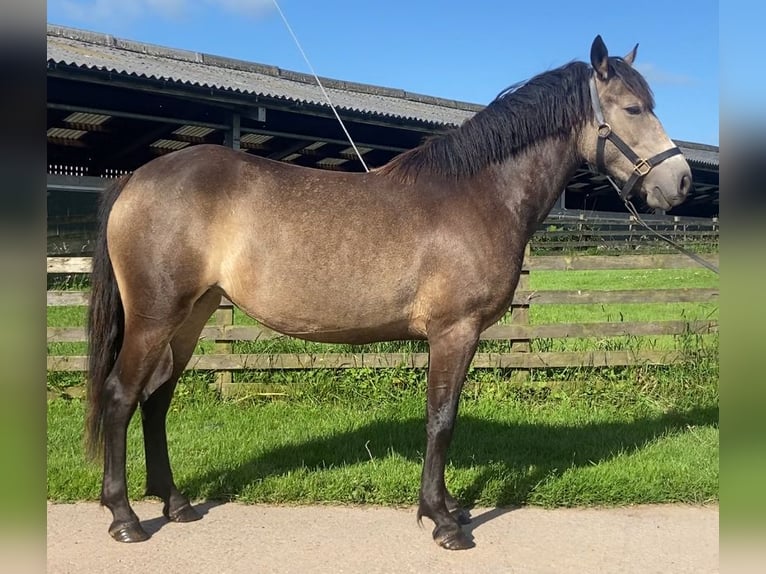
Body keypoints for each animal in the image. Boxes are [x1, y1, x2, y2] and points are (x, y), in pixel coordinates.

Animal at [86, 35, 691, 550]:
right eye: (633, 109)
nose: (681, 181)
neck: (478, 193)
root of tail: (136, 178)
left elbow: (444, 418)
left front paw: (448, 506)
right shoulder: (454, 332)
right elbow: (441, 419)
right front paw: (442, 521)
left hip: (192, 316)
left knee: (156, 399)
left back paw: (175, 502)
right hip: (155, 318)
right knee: (120, 396)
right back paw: (125, 518)